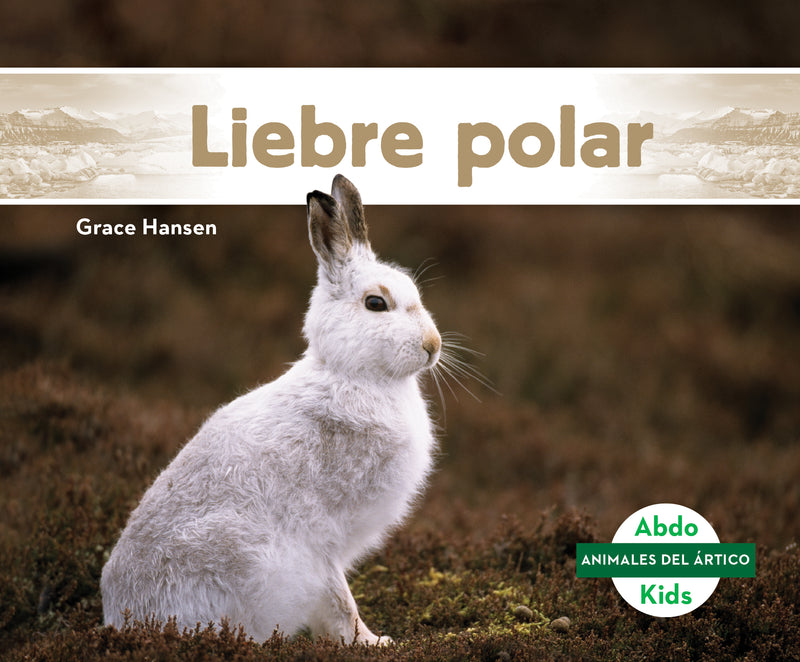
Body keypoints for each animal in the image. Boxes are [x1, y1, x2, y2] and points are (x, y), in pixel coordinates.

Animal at [100, 174, 441, 645]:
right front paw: (371, 642)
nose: (433, 345)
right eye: (376, 303)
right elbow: (340, 599)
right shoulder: (318, 537)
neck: (351, 374)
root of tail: (120, 619)